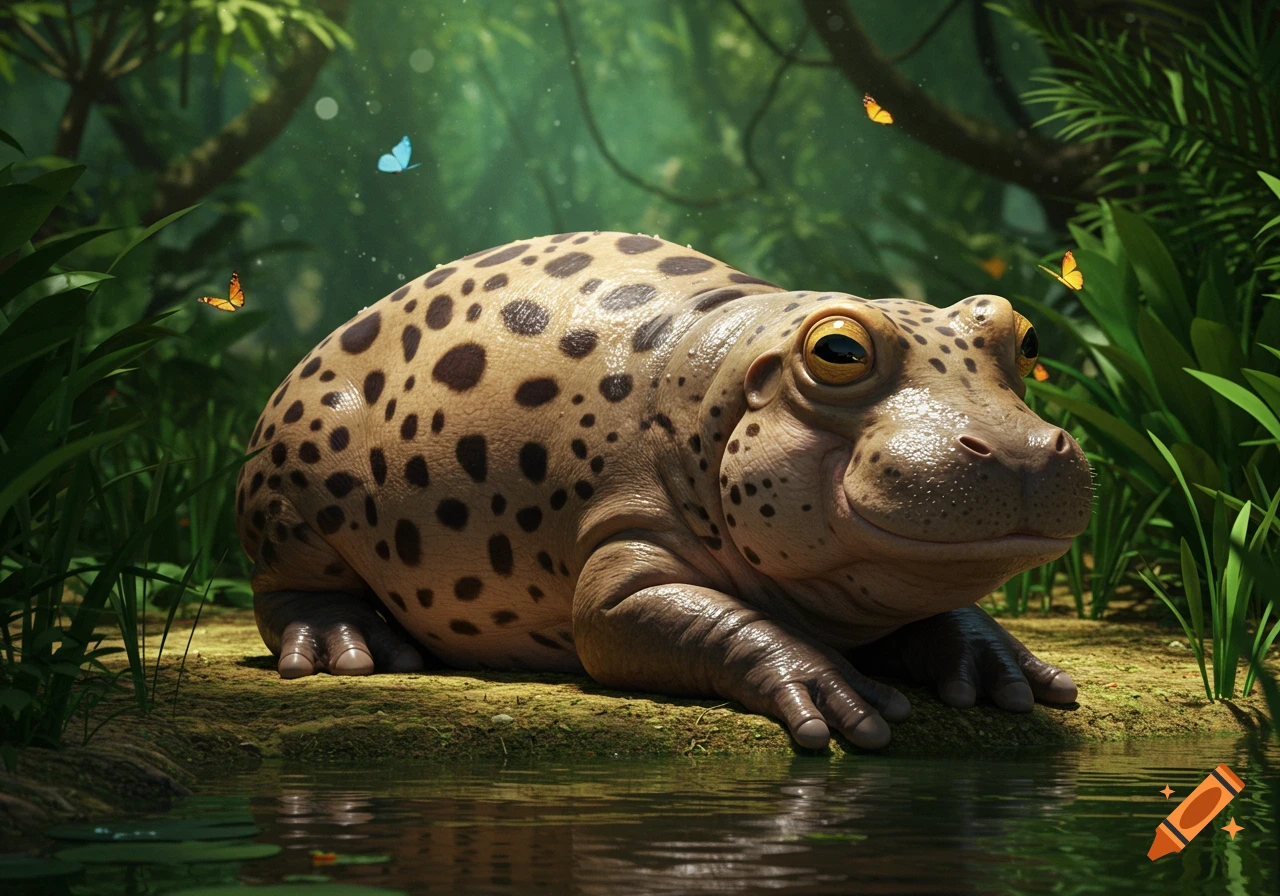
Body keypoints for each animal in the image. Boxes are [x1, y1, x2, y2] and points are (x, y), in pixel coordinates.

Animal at [236, 231, 1093, 750]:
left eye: (1023, 335)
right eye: (839, 350)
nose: (1022, 448)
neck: (719, 377)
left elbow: (940, 604)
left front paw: (1006, 673)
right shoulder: (624, 563)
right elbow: (693, 619)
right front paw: (841, 694)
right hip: (290, 496)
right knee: (287, 592)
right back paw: (353, 647)